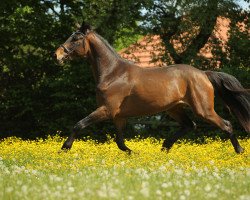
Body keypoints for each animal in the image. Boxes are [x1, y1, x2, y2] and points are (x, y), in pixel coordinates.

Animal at [53, 21, 249, 154]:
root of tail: (203, 74)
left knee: (226, 125)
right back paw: (165, 147)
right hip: (174, 108)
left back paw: (239, 151)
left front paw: (64, 148)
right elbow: (120, 143)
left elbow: (79, 125)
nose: (57, 55)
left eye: (76, 38)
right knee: (189, 125)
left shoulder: (107, 110)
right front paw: (135, 154)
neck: (113, 73)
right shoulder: (118, 116)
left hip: (203, 109)